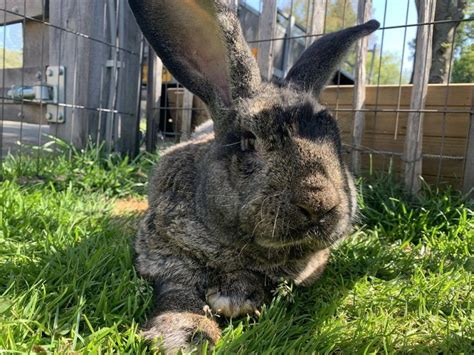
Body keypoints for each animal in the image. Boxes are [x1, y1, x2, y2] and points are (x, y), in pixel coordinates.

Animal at [128, 0, 380, 354]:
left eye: (338, 143)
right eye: (248, 141)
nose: (319, 204)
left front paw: (234, 297)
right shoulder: (163, 253)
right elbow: (179, 290)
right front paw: (184, 336)